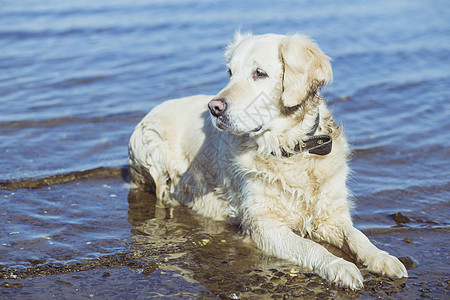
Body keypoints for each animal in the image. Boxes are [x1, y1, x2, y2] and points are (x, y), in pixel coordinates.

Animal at [127, 32, 408, 288]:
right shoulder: (264, 225)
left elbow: (357, 236)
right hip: (150, 143)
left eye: (259, 73)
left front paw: (383, 258)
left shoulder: (331, 214)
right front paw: (339, 266)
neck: (291, 150)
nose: (214, 108)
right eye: (230, 72)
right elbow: (309, 246)